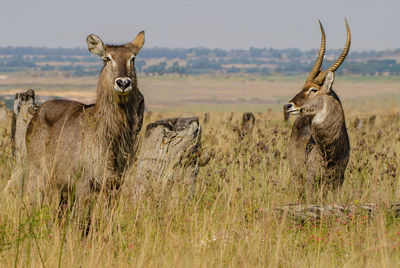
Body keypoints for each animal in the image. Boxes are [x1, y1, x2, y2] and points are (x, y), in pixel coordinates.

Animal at [23, 31, 145, 207]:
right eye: (107, 58)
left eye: (132, 58)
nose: (123, 82)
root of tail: (37, 111)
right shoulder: (83, 185)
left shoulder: (114, 185)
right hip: (37, 173)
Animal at [284, 20, 350, 201]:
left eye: (313, 89)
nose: (288, 105)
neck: (329, 150)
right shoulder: (310, 179)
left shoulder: (339, 179)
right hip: (296, 176)